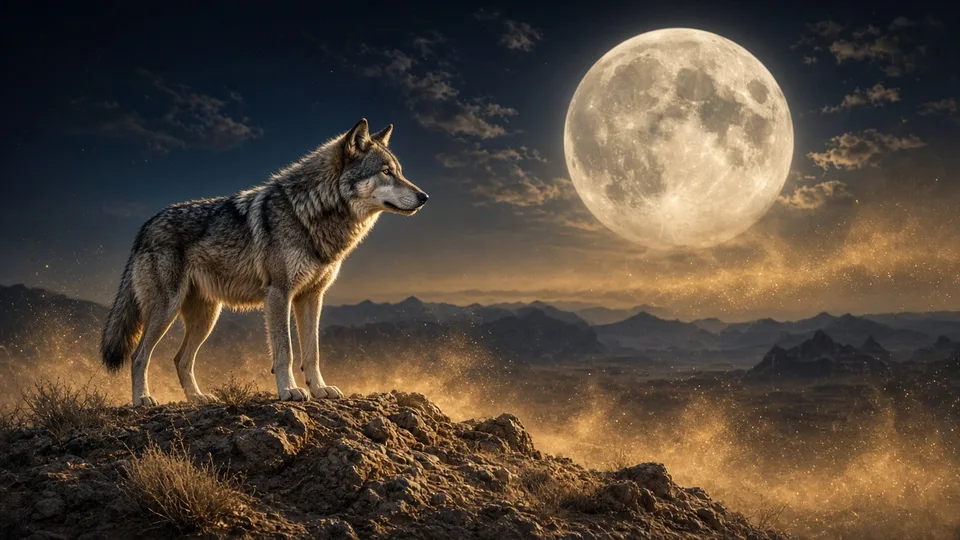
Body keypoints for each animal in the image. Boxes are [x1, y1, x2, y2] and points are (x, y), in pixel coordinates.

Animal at [99, 119, 428, 406]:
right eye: (386, 172)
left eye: (399, 172)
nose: (424, 196)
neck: (309, 211)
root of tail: (145, 226)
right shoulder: (279, 293)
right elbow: (285, 351)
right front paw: (289, 391)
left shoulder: (312, 296)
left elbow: (312, 352)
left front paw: (319, 390)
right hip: (166, 310)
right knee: (139, 356)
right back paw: (142, 399)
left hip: (207, 317)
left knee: (180, 359)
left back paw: (197, 398)